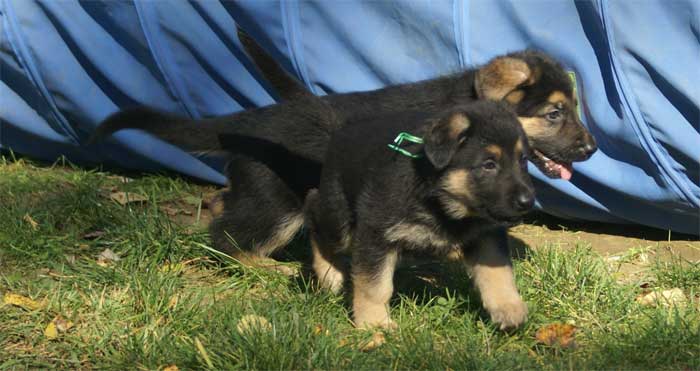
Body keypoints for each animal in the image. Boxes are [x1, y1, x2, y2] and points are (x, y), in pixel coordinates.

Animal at [93, 46, 596, 272]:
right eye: (555, 113)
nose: (591, 149)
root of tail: (255, 120)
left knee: (223, 210)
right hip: (277, 204)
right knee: (226, 239)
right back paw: (262, 268)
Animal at [304, 100, 532, 330]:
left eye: (522, 160)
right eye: (489, 164)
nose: (528, 202)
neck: (442, 203)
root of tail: (341, 130)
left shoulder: (485, 232)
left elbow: (497, 270)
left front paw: (507, 307)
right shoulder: (375, 233)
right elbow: (375, 286)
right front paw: (375, 324)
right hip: (337, 218)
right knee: (313, 209)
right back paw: (330, 275)